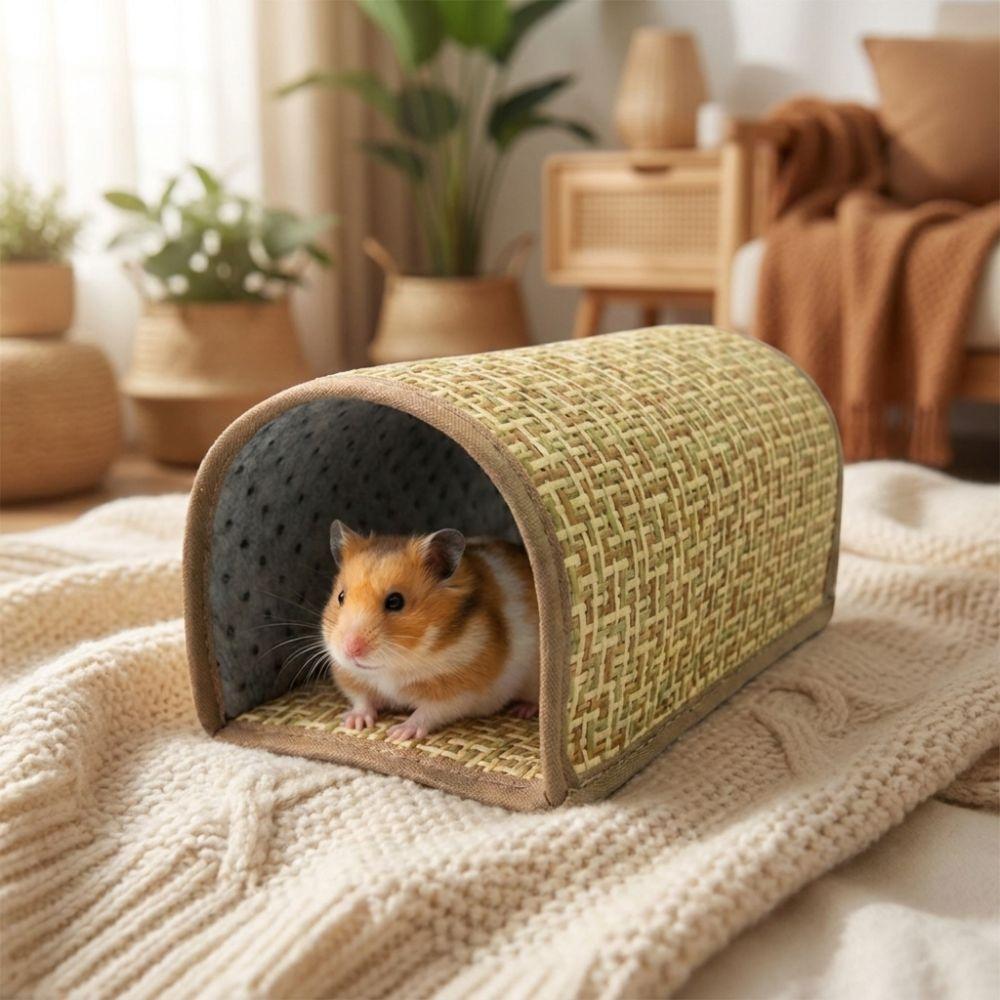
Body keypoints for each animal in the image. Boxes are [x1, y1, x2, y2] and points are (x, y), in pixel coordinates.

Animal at [321, 520, 540, 741]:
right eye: (340, 596)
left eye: (395, 602)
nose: (350, 650)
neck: (393, 667)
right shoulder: (353, 677)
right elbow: (362, 699)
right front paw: (353, 723)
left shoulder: (460, 691)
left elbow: (428, 712)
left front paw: (398, 733)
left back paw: (523, 710)